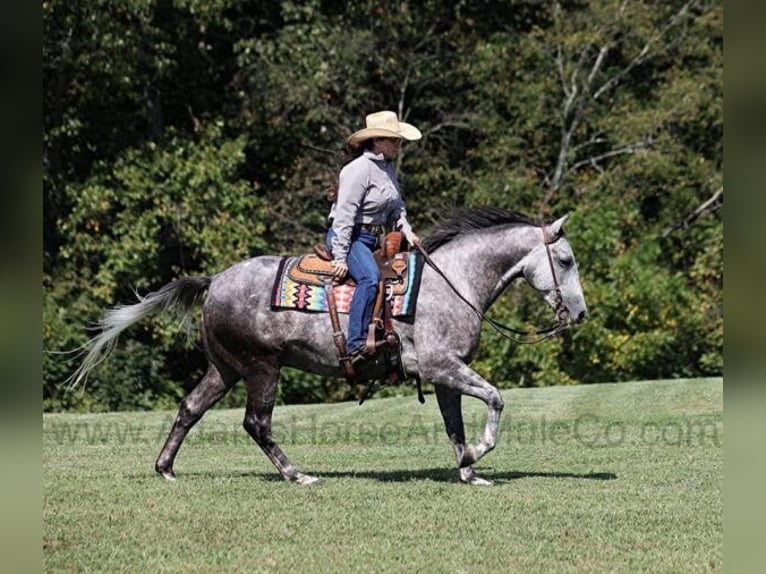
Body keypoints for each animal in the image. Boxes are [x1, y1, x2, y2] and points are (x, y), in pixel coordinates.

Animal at [67, 207, 588, 486]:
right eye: (564, 260)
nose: (580, 314)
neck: (452, 282)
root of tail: (215, 280)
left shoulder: (446, 375)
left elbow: (454, 425)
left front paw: (468, 470)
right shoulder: (442, 366)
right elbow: (495, 401)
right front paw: (479, 454)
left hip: (225, 368)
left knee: (190, 408)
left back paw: (166, 468)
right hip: (261, 368)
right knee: (256, 423)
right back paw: (296, 474)